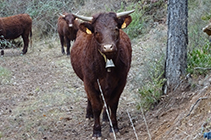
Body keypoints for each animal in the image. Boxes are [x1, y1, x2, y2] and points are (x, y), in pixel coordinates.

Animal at [70, 9, 134, 138]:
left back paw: (105, 116)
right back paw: (89, 114)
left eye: (116, 28)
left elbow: (113, 103)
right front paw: (96, 131)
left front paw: (114, 127)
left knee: (107, 99)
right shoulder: (89, 82)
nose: (108, 47)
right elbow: (96, 105)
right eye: (96, 32)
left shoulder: (121, 82)